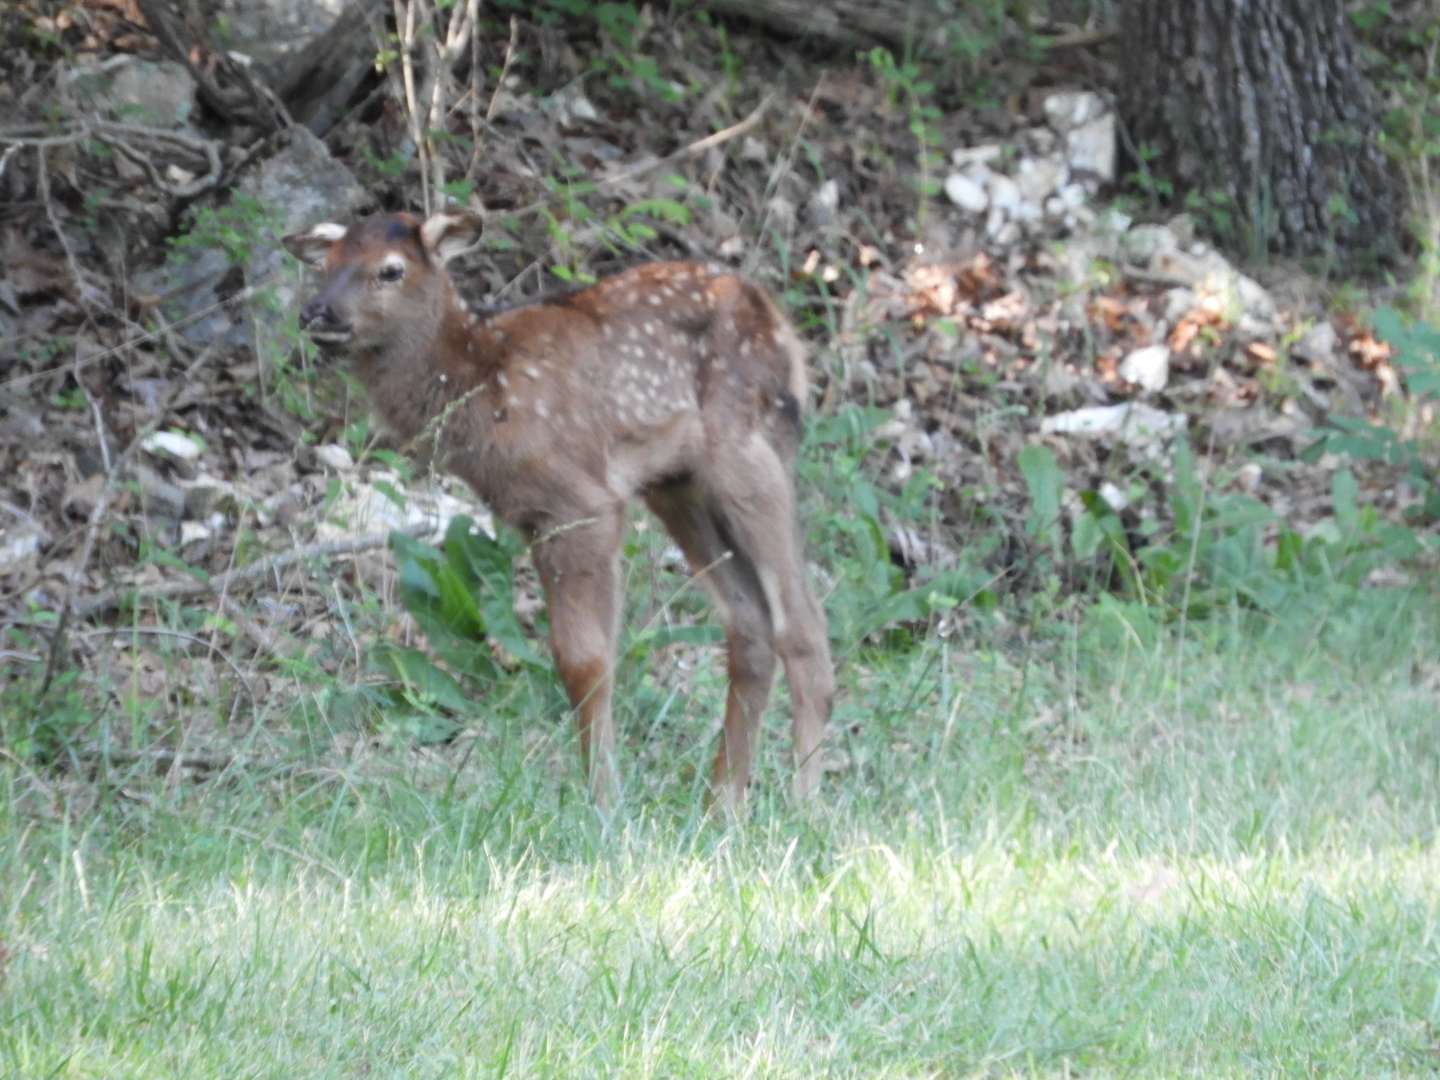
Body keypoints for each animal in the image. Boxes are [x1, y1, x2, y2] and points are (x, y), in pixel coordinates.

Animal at [282, 209, 835, 812]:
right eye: (327, 266)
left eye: (390, 269)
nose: (317, 313)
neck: (480, 384)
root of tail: (782, 327)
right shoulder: (533, 514)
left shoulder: (580, 501)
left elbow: (585, 661)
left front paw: (604, 803)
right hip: (677, 484)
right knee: (750, 624)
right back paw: (723, 805)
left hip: (746, 447)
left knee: (804, 624)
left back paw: (804, 805)